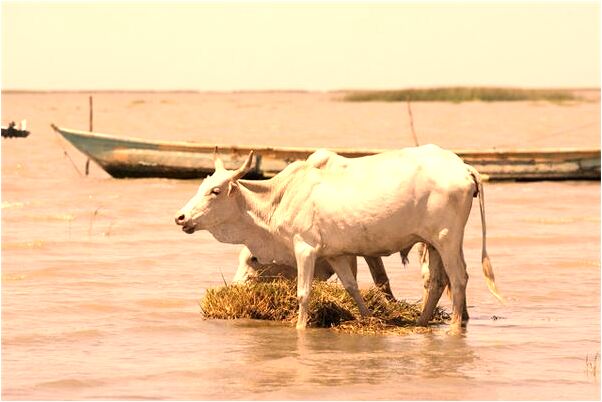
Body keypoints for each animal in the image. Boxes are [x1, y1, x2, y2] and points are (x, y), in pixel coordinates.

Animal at [175, 146, 502, 332]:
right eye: (203, 185)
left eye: (215, 191)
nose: (180, 217)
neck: (280, 198)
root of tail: (462, 167)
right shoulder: (336, 254)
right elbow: (352, 287)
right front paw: (369, 318)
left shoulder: (305, 249)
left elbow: (303, 293)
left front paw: (300, 327)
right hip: (432, 242)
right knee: (435, 282)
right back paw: (421, 323)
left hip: (448, 239)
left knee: (458, 278)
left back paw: (455, 325)